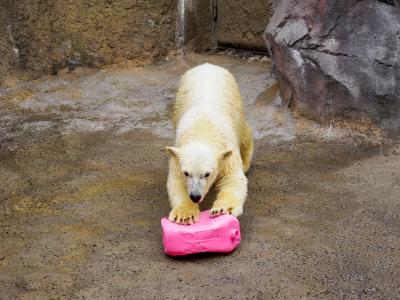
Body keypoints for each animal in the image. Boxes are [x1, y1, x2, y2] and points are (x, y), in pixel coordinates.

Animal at [166, 63, 253, 224]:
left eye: (207, 174)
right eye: (187, 173)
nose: (195, 196)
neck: (203, 130)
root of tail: (208, 65)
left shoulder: (227, 148)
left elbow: (232, 178)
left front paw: (222, 209)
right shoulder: (179, 153)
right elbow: (176, 182)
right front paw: (184, 215)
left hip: (236, 103)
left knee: (244, 134)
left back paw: (246, 162)